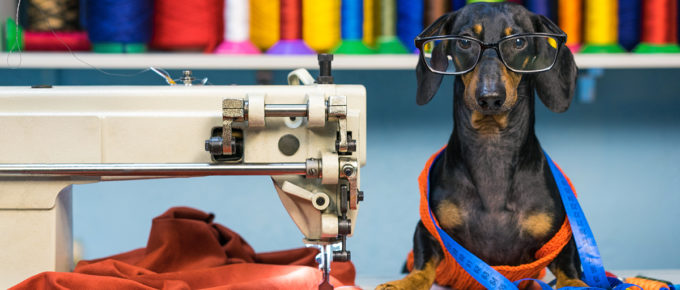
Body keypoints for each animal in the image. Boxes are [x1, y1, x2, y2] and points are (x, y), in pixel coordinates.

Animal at [378, 2, 580, 290]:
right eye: (465, 42)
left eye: (518, 41)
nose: (490, 97)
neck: (492, 145)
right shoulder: (427, 230)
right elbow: (422, 264)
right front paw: (405, 282)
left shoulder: (562, 239)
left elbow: (569, 267)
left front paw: (578, 282)